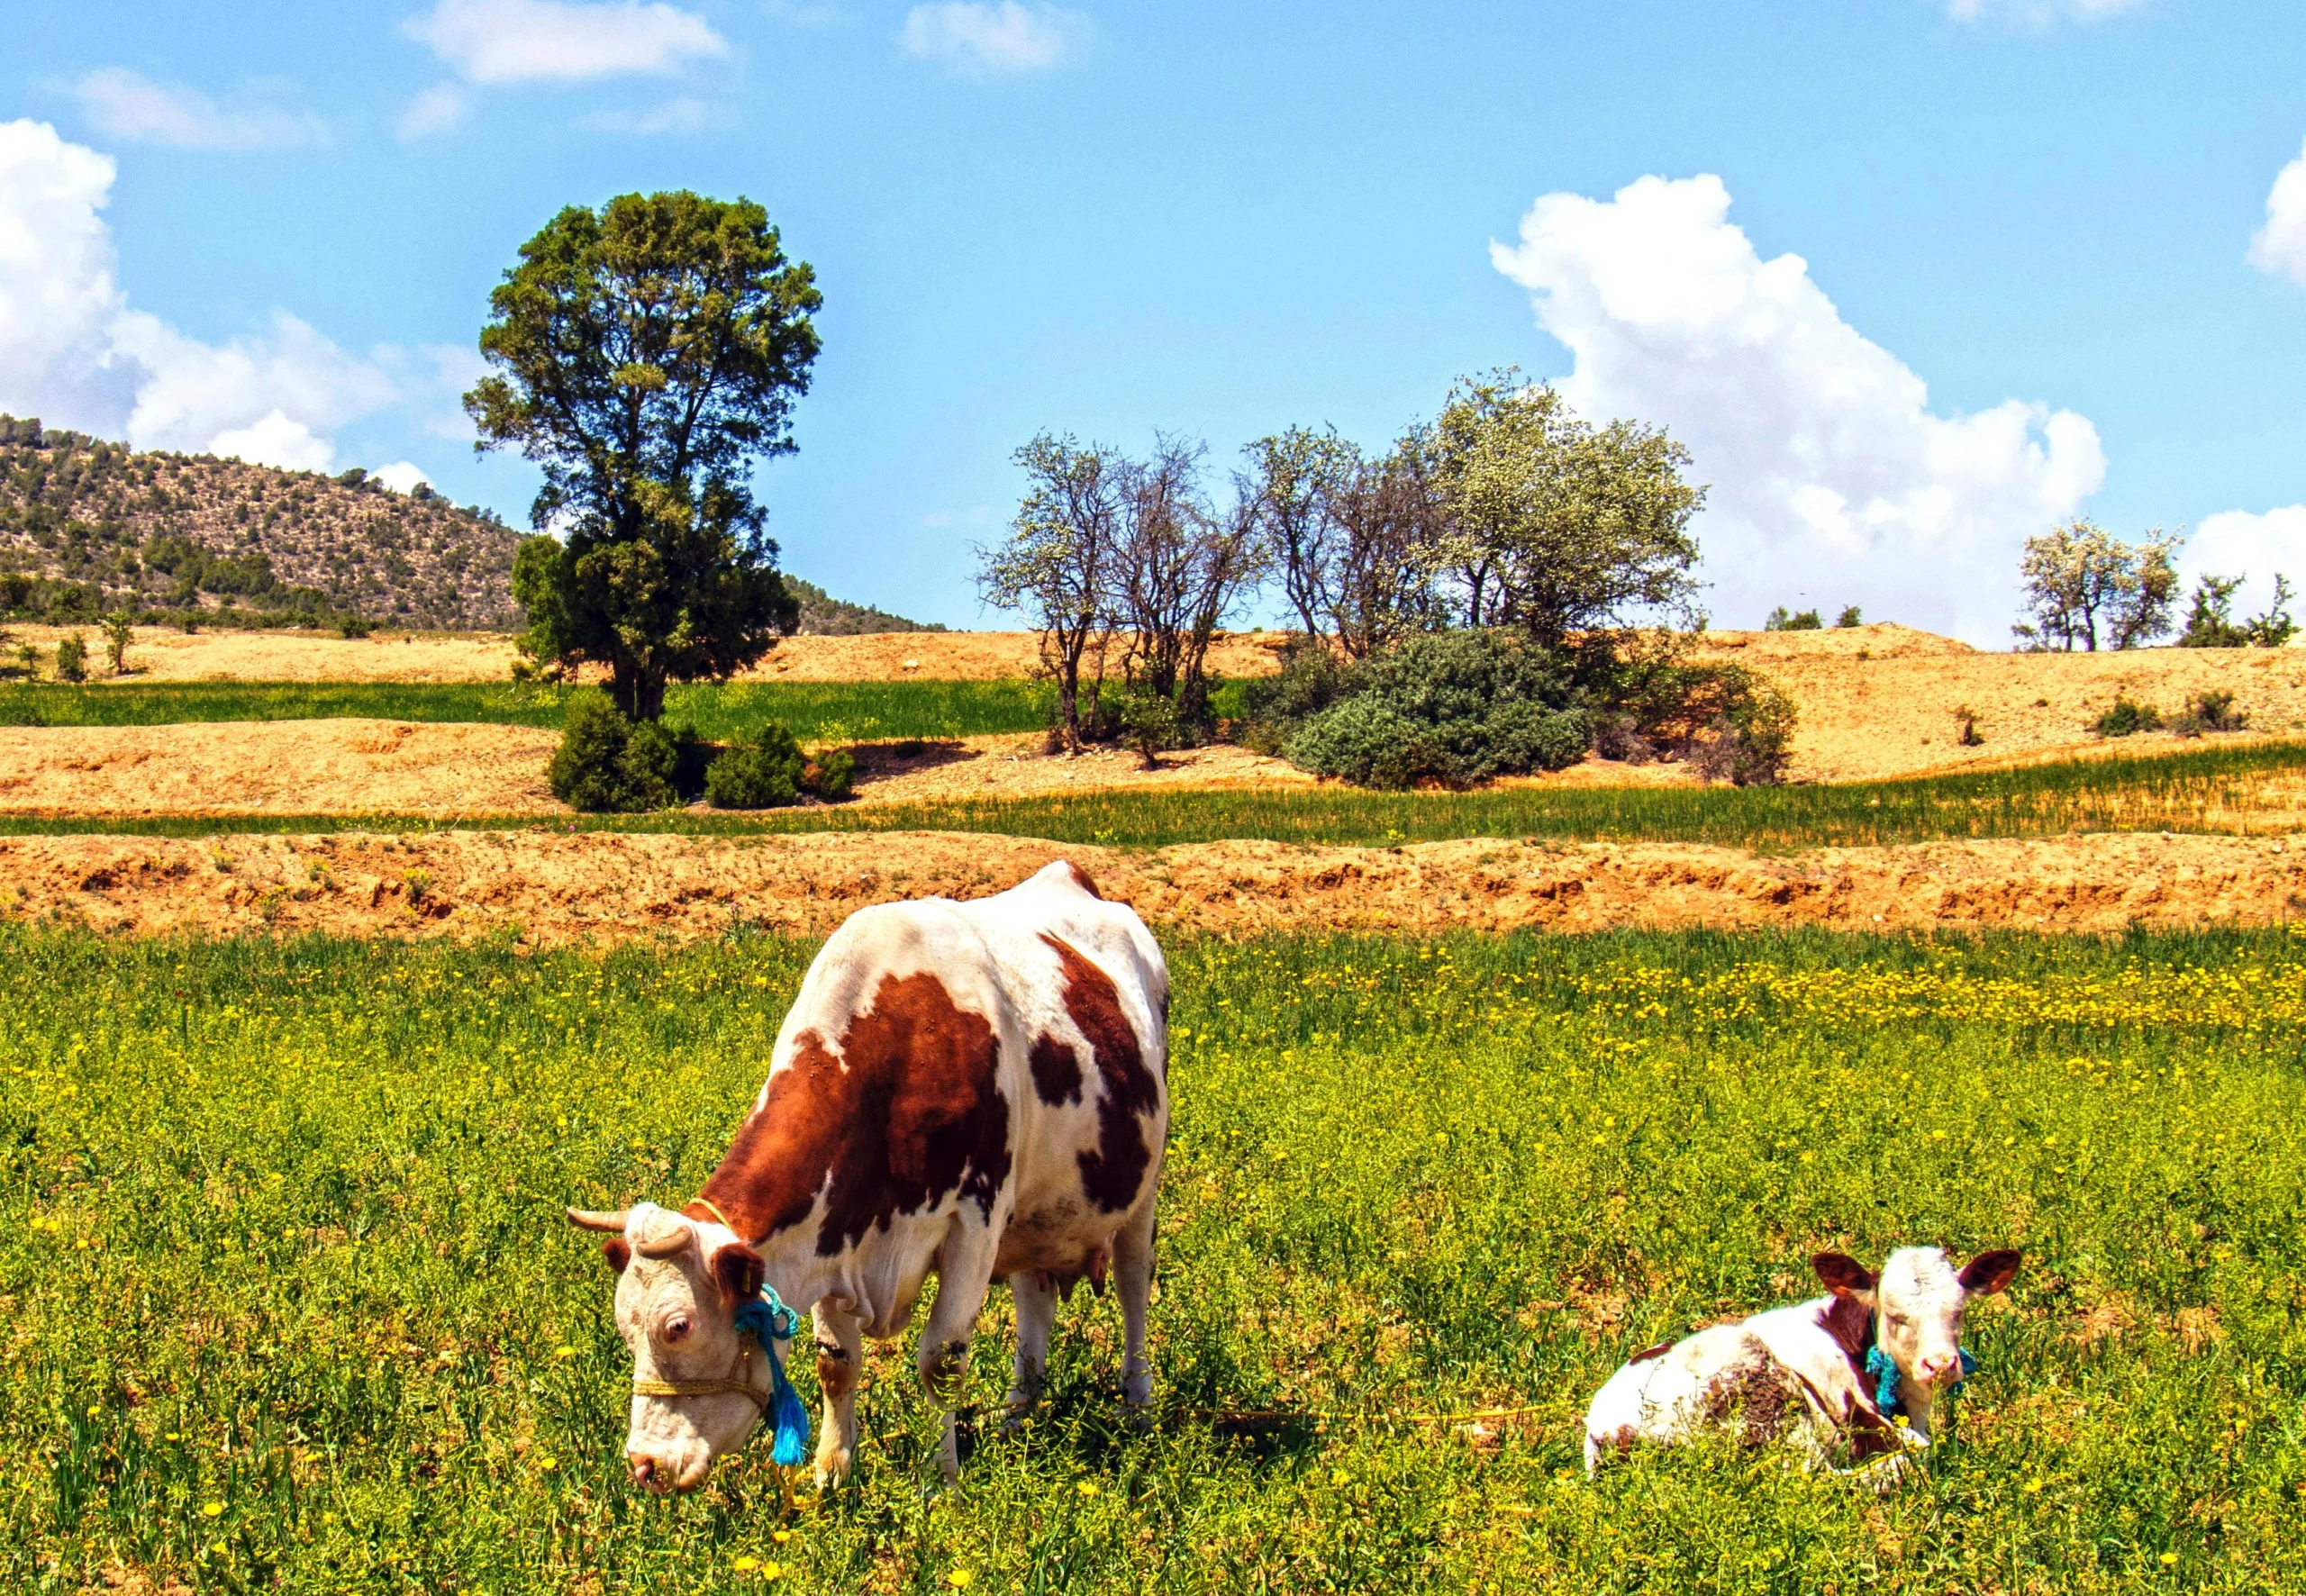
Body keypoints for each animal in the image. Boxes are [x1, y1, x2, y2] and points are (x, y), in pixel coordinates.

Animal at [560, 866, 1171, 1494]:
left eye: (677, 1326)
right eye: (624, 1327)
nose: (644, 1465)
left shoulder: (976, 1222)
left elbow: (942, 1361)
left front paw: (942, 1481)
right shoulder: (832, 1239)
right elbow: (836, 1362)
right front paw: (831, 1475)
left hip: (1141, 1190)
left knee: (1133, 1285)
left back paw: (1137, 1407)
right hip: (1036, 1214)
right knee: (1035, 1297)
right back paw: (1017, 1416)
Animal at [1586, 1245, 2020, 1485]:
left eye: (1958, 1312)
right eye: (1896, 1316)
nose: (1940, 1364)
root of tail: (1603, 1428)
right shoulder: (1857, 1412)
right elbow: (1922, 1446)